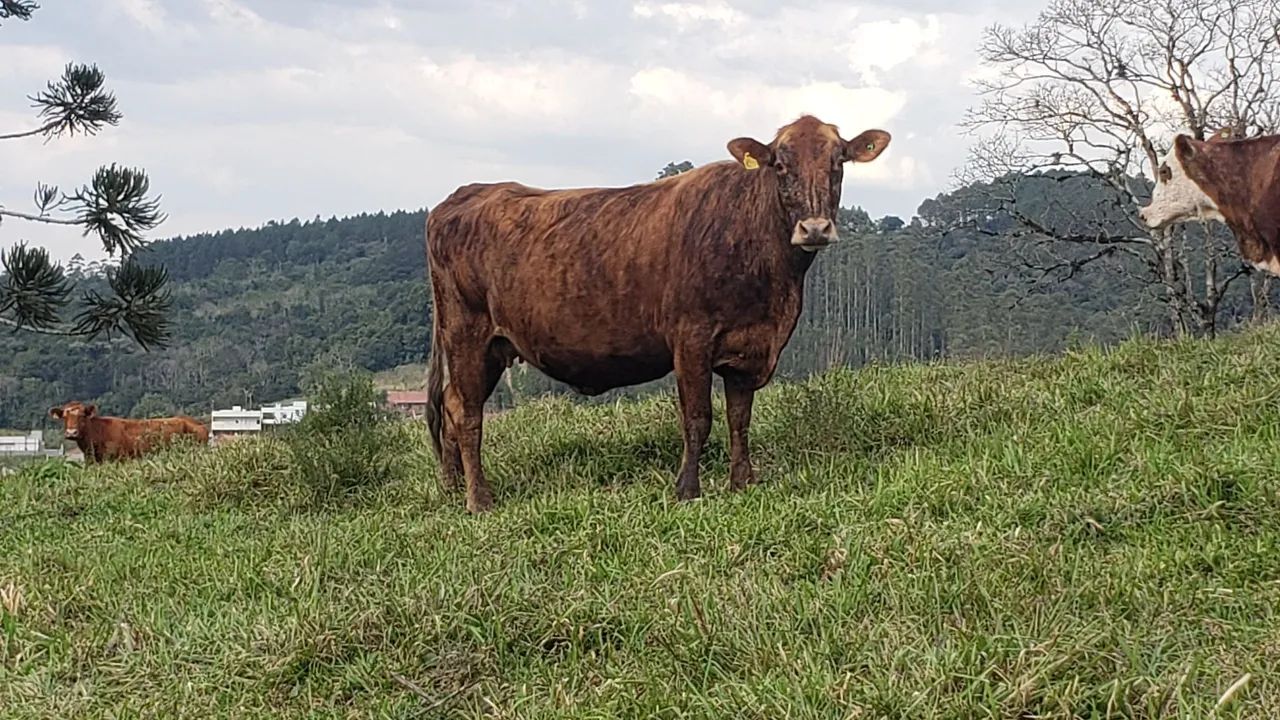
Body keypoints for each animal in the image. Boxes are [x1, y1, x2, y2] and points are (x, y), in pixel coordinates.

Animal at [424, 114, 892, 513]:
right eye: (779, 165)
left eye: (838, 163)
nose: (815, 228)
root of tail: (466, 193)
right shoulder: (692, 339)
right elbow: (698, 418)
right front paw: (687, 489)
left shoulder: (750, 348)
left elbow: (739, 417)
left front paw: (743, 481)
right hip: (466, 333)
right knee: (466, 413)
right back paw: (479, 499)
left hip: (493, 347)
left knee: (451, 406)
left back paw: (451, 486)